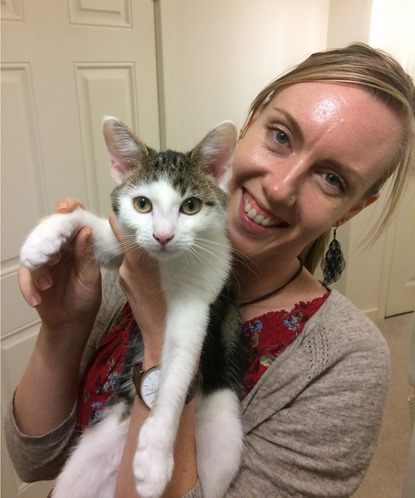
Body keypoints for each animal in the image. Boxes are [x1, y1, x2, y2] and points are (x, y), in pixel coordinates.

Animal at [20, 117, 247, 498]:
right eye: (142, 204)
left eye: (191, 206)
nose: (163, 236)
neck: (164, 264)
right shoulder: (123, 242)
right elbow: (90, 225)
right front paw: (43, 238)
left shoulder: (198, 297)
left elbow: (177, 369)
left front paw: (154, 458)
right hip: (87, 455)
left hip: (223, 434)